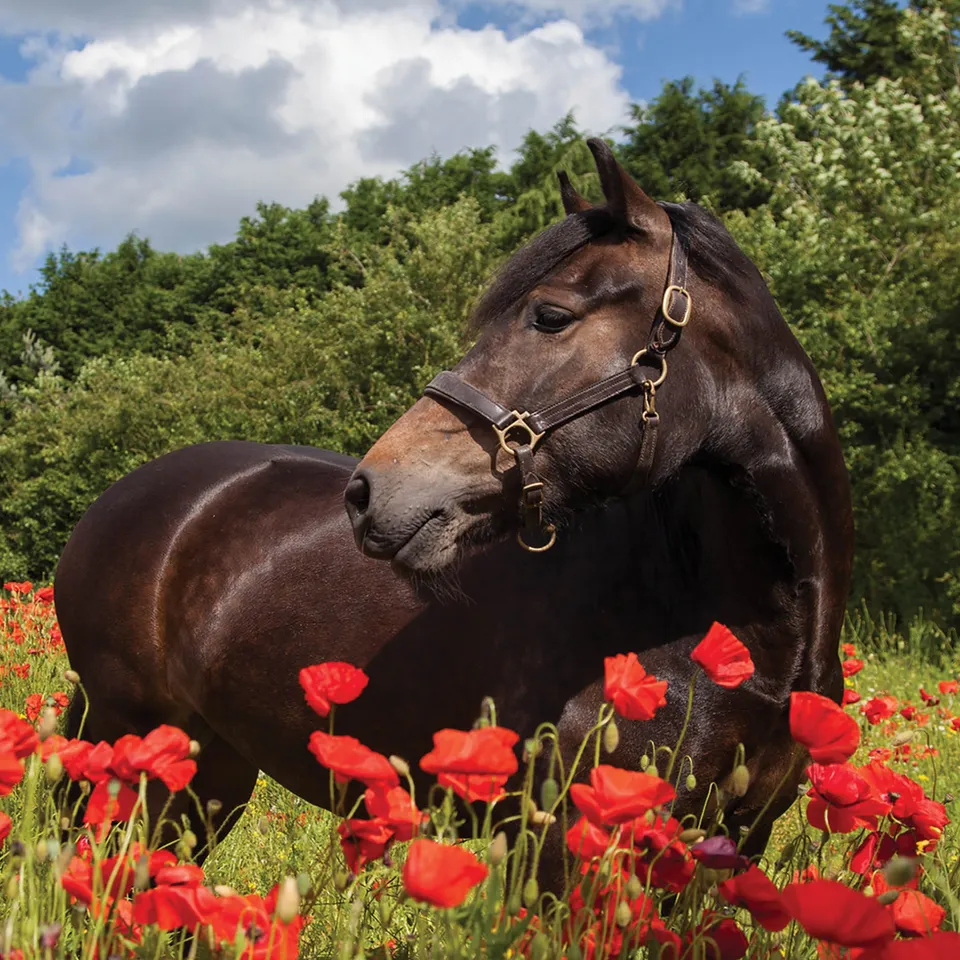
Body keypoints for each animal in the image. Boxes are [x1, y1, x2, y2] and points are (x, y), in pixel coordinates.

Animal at [54, 139, 853, 885]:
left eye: (550, 316)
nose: (367, 492)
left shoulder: (732, 847)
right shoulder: (561, 851)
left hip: (211, 770)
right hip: (132, 748)